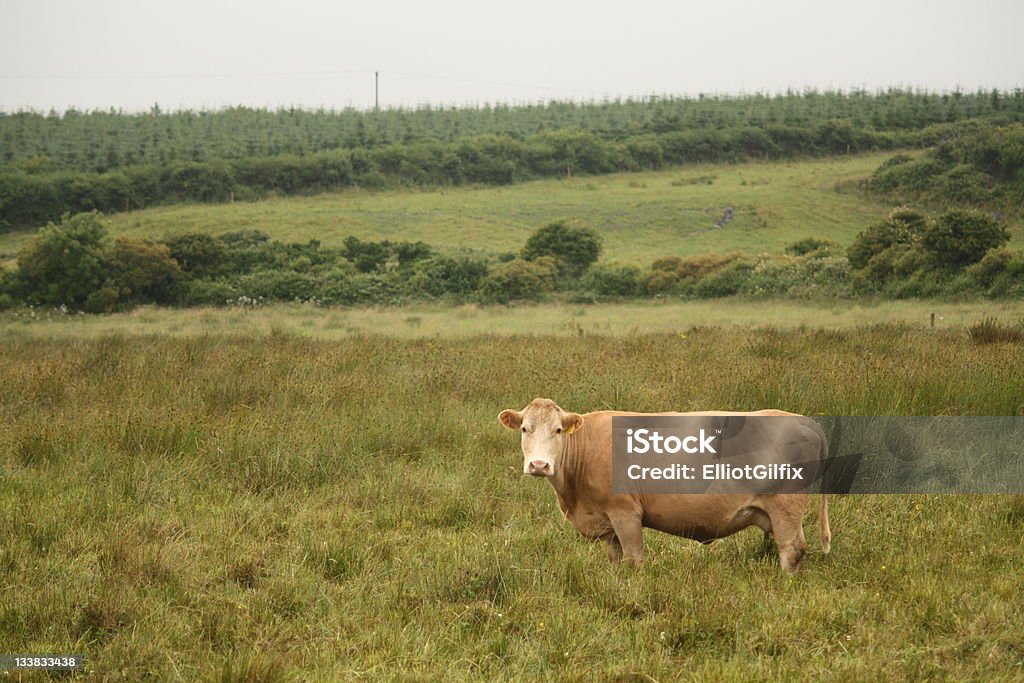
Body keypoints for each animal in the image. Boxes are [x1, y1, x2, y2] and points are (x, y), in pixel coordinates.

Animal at [497, 395, 831, 573]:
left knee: (791, 550)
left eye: (557, 430)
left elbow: (634, 559)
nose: (539, 465)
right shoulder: (607, 523)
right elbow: (616, 560)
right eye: (525, 429)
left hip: (785, 506)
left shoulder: (625, 513)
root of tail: (801, 419)